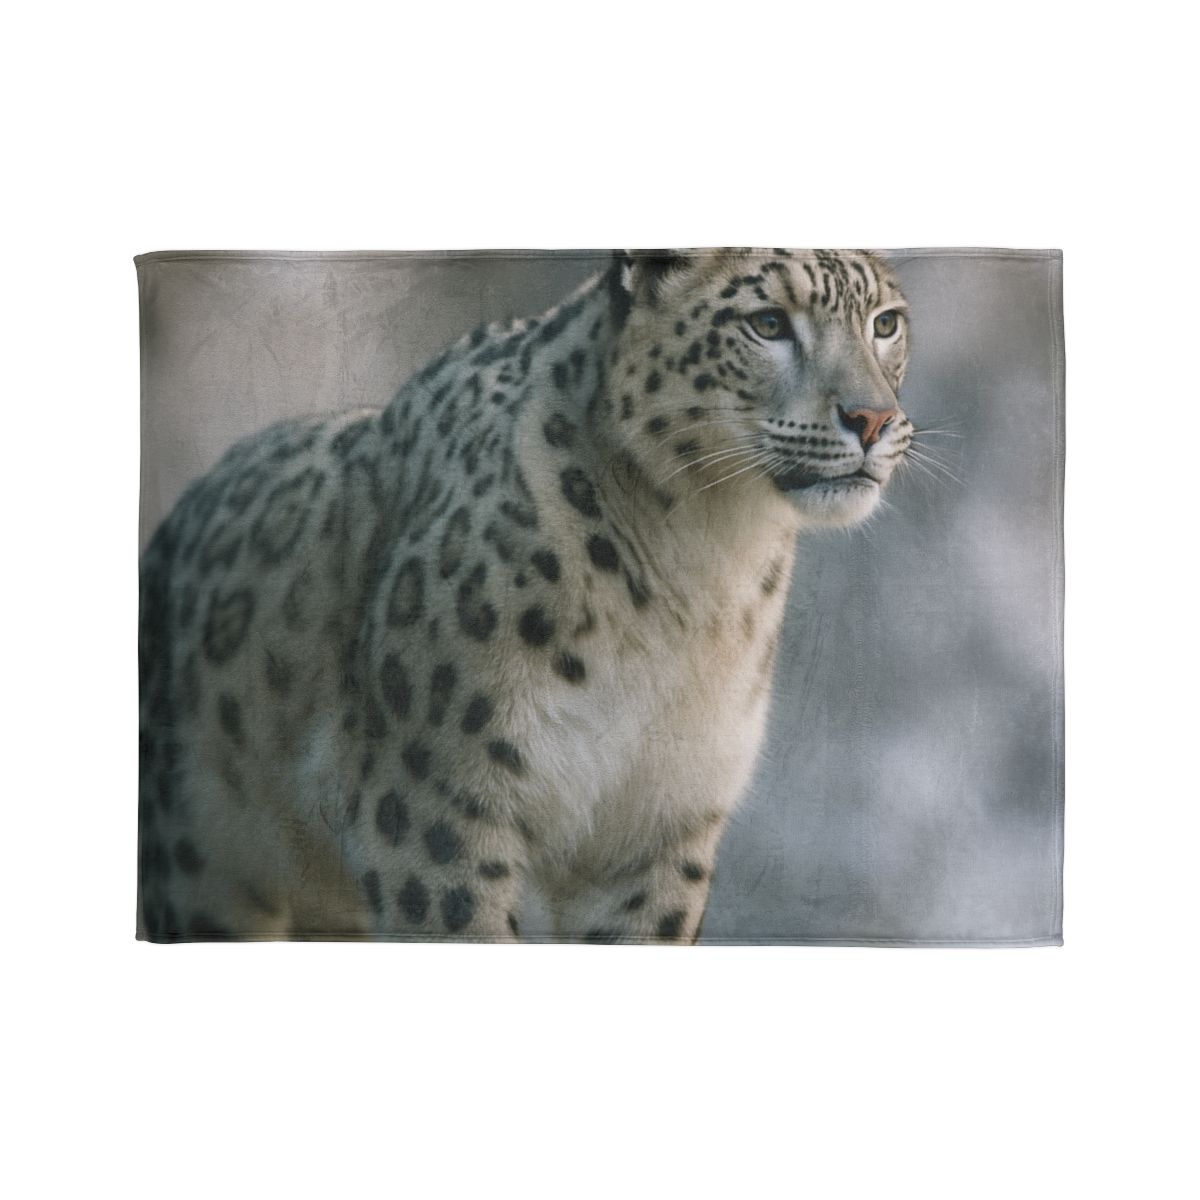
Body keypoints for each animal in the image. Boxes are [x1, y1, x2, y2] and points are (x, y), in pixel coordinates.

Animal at [137, 248, 912, 942]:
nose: (872, 419)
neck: (703, 561)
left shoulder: (661, 824)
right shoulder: (433, 801)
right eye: (767, 323)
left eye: (885, 323)